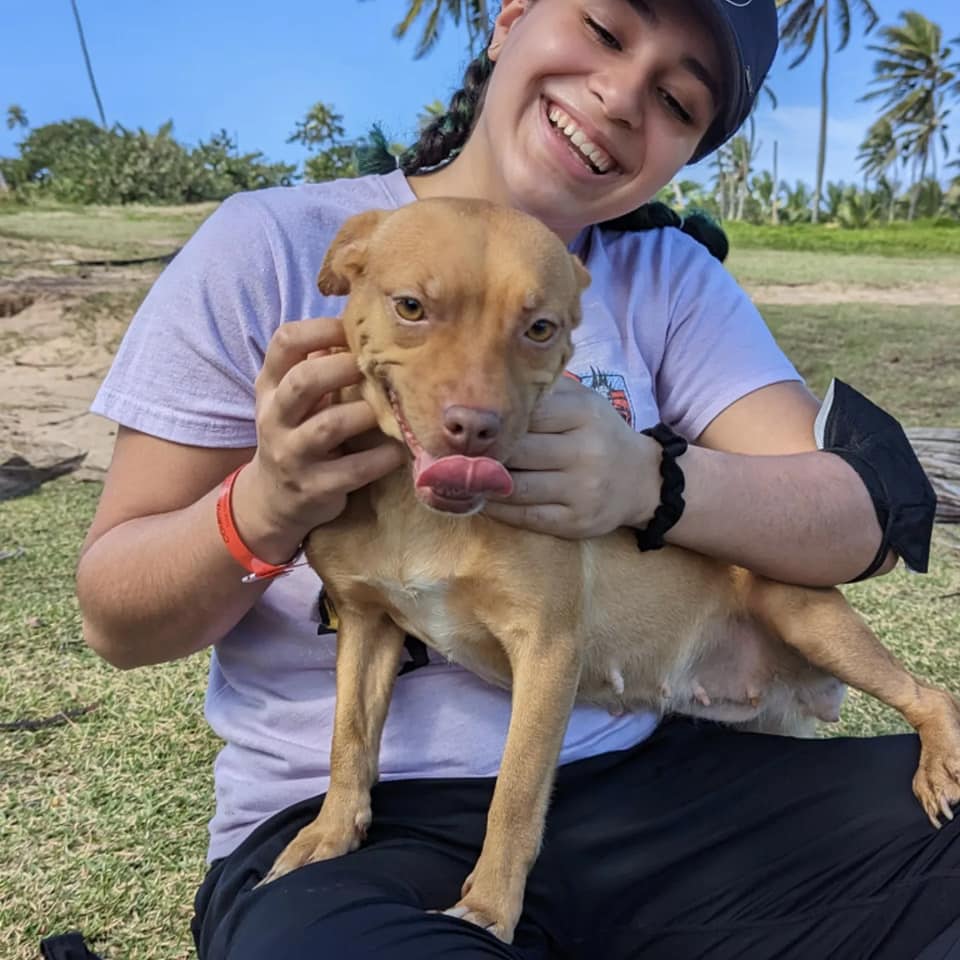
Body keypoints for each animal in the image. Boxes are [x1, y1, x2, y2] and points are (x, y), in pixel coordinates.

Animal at [260, 199, 960, 940]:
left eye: (540, 328)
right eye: (411, 307)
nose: (475, 428)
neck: (418, 511)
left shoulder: (547, 650)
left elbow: (514, 795)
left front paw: (489, 907)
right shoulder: (366, 625)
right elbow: (349, 741)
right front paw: (330, 834)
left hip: (804, 615)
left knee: (932, 695)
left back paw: (939, 761)